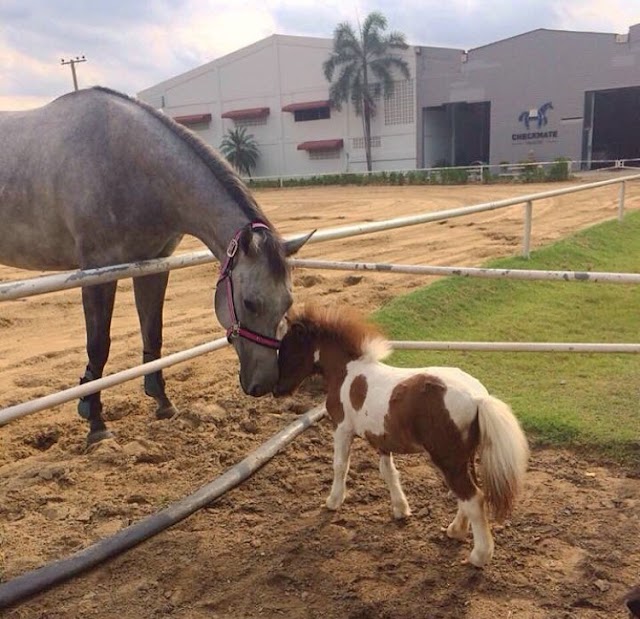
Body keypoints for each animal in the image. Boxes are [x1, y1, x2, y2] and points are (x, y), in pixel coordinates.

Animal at [0, 87, 313, 445]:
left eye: (287, 302)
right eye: (249, 303)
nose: (264, 384)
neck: (127, 160)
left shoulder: (153, 265)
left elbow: (153, 333)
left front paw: (163, 402)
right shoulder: (97, 272)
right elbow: (99, 346)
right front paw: (96, 423)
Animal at [273, 304, 529, 568]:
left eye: (288, 348)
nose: (277, 390)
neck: (348, 372)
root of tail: (478, 398)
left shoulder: (342, 429)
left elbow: (340, 466)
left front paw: (333, 502)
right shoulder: (382, 440)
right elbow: (388, 472)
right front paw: (401, 509)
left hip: (447, 459)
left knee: (473, 497)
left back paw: (479, 555)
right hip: (463, 457)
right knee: (469, 493)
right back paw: (455, 530)